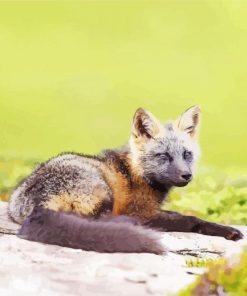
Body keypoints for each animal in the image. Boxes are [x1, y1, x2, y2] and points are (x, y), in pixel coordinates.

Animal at [8, 106, 243, 254]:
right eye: (164, 156)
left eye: (187, 154)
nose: (187, 175)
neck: (139, 174)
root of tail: (38, 199)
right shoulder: (142, 211)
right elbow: (189, 219)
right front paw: (226, 230)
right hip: (103, 190)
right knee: (98, 220)